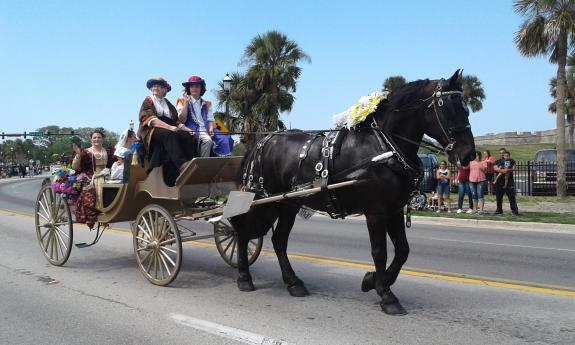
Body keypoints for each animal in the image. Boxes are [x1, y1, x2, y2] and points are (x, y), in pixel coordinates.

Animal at [230, 70, 476, 314]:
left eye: (466, 108)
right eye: (448, 108)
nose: (469, 154)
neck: (384, 146)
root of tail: (262, 141)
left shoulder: (394, 210)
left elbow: (402, 251)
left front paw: (373, 280)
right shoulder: (375, 211)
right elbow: (380, 251)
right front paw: (386, 294)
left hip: (287, 204)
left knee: (278, 240)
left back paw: (293, 282)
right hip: (260, 199)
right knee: (242, 230)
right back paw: (244, 277)